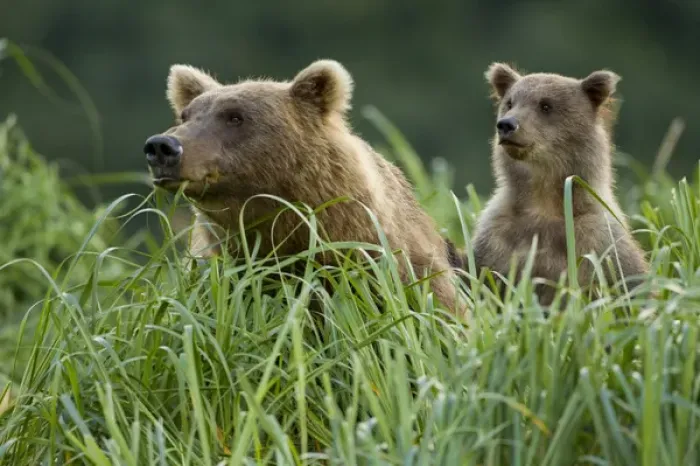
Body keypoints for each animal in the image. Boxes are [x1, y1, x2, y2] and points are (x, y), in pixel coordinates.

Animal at [471, 62, 649, 307]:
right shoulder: (497, 240)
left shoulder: (599, 241)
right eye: (510, 102)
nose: (507, 124)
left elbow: (630, 284)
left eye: (546, 105)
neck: (544, 202)